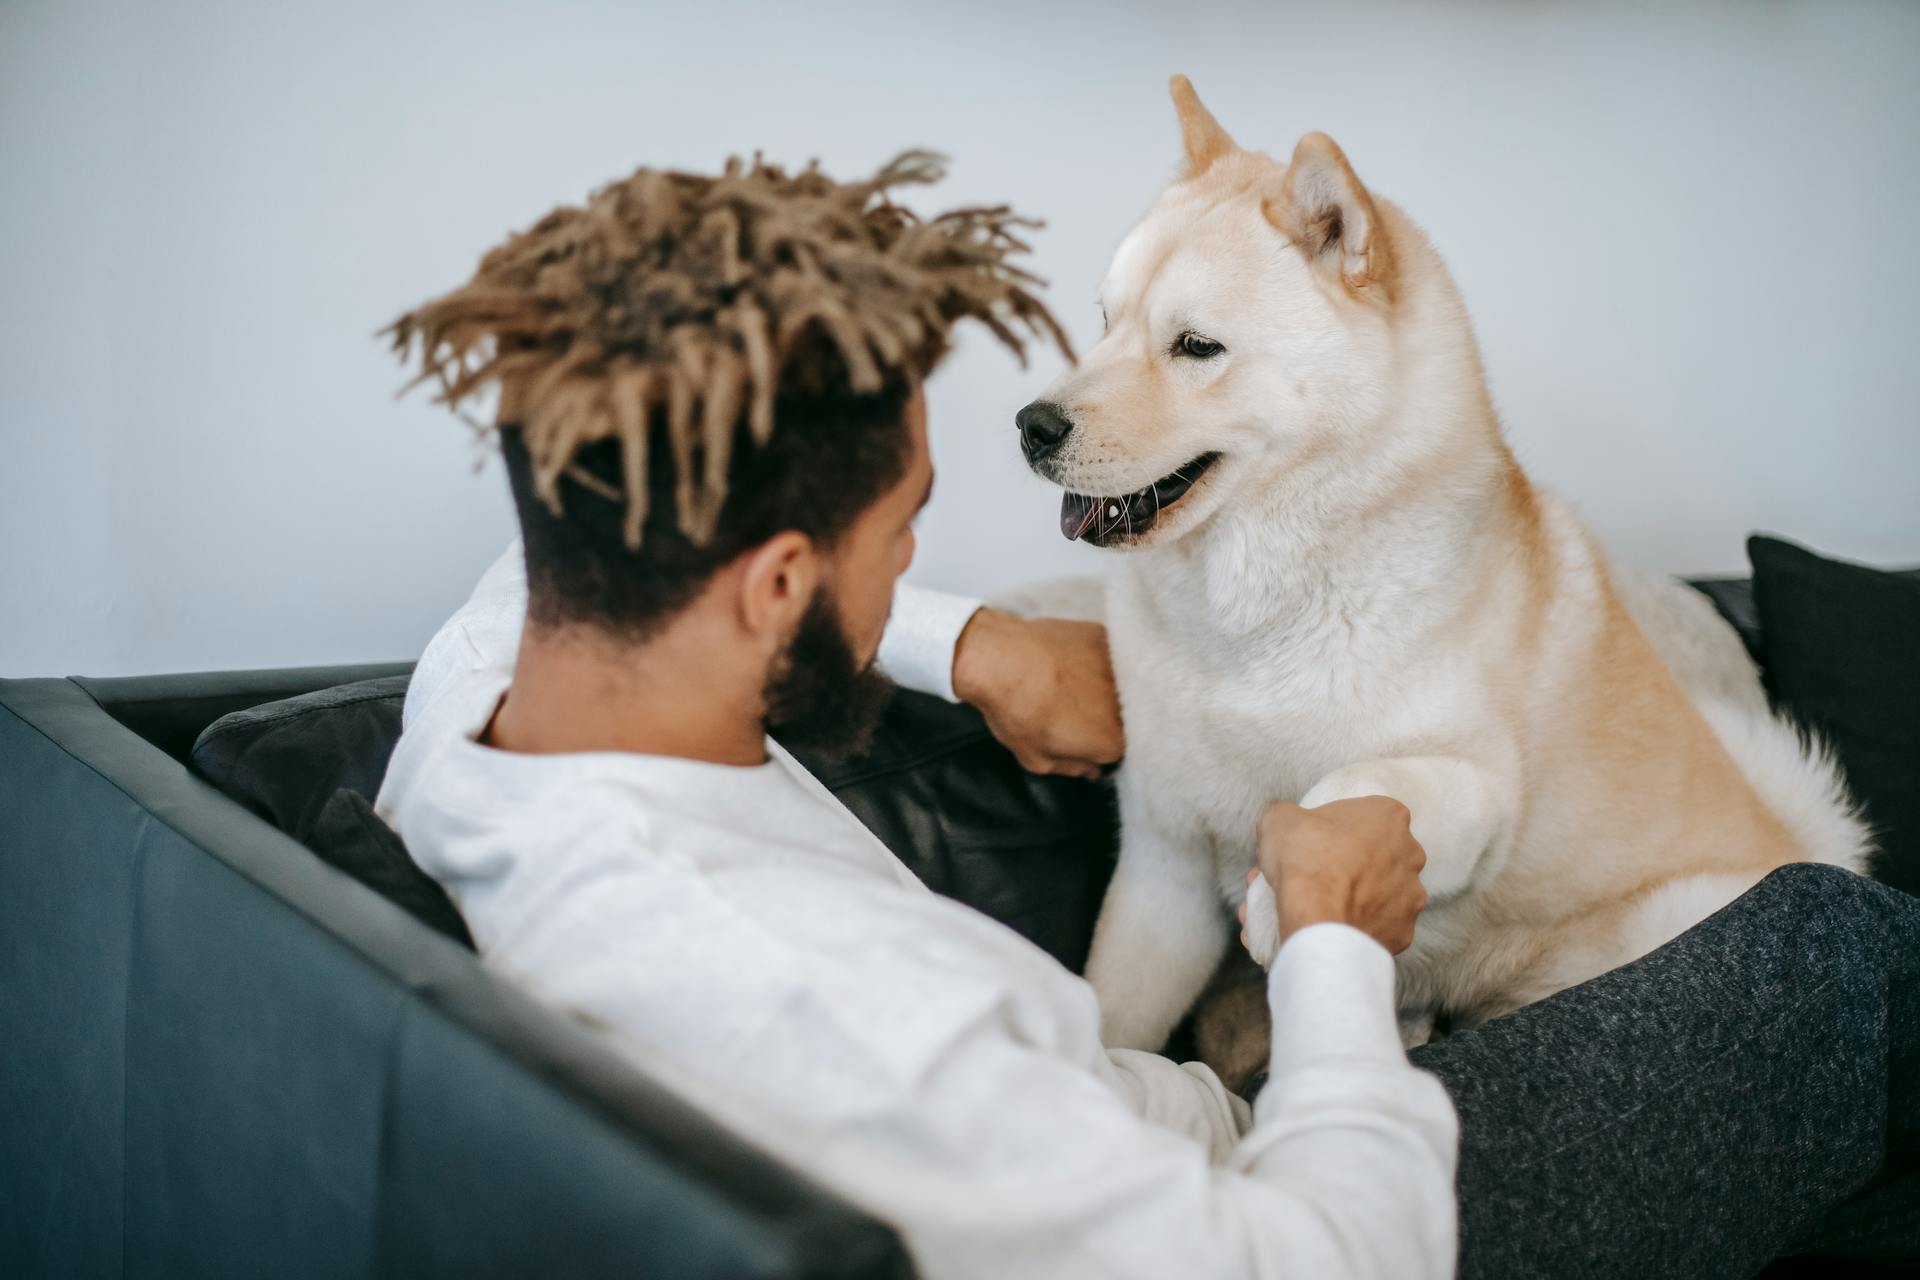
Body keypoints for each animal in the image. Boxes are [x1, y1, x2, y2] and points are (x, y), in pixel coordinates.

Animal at [1013, 72, 1866, 1074]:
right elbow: (1114, 1014)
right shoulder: (1163, 871)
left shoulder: (1474, 788)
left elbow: (1351, 785)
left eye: (1195, 346)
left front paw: (1275, 897)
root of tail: (1800, 842)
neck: (1243, 623)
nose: (1031, 426)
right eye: (1104, 323)